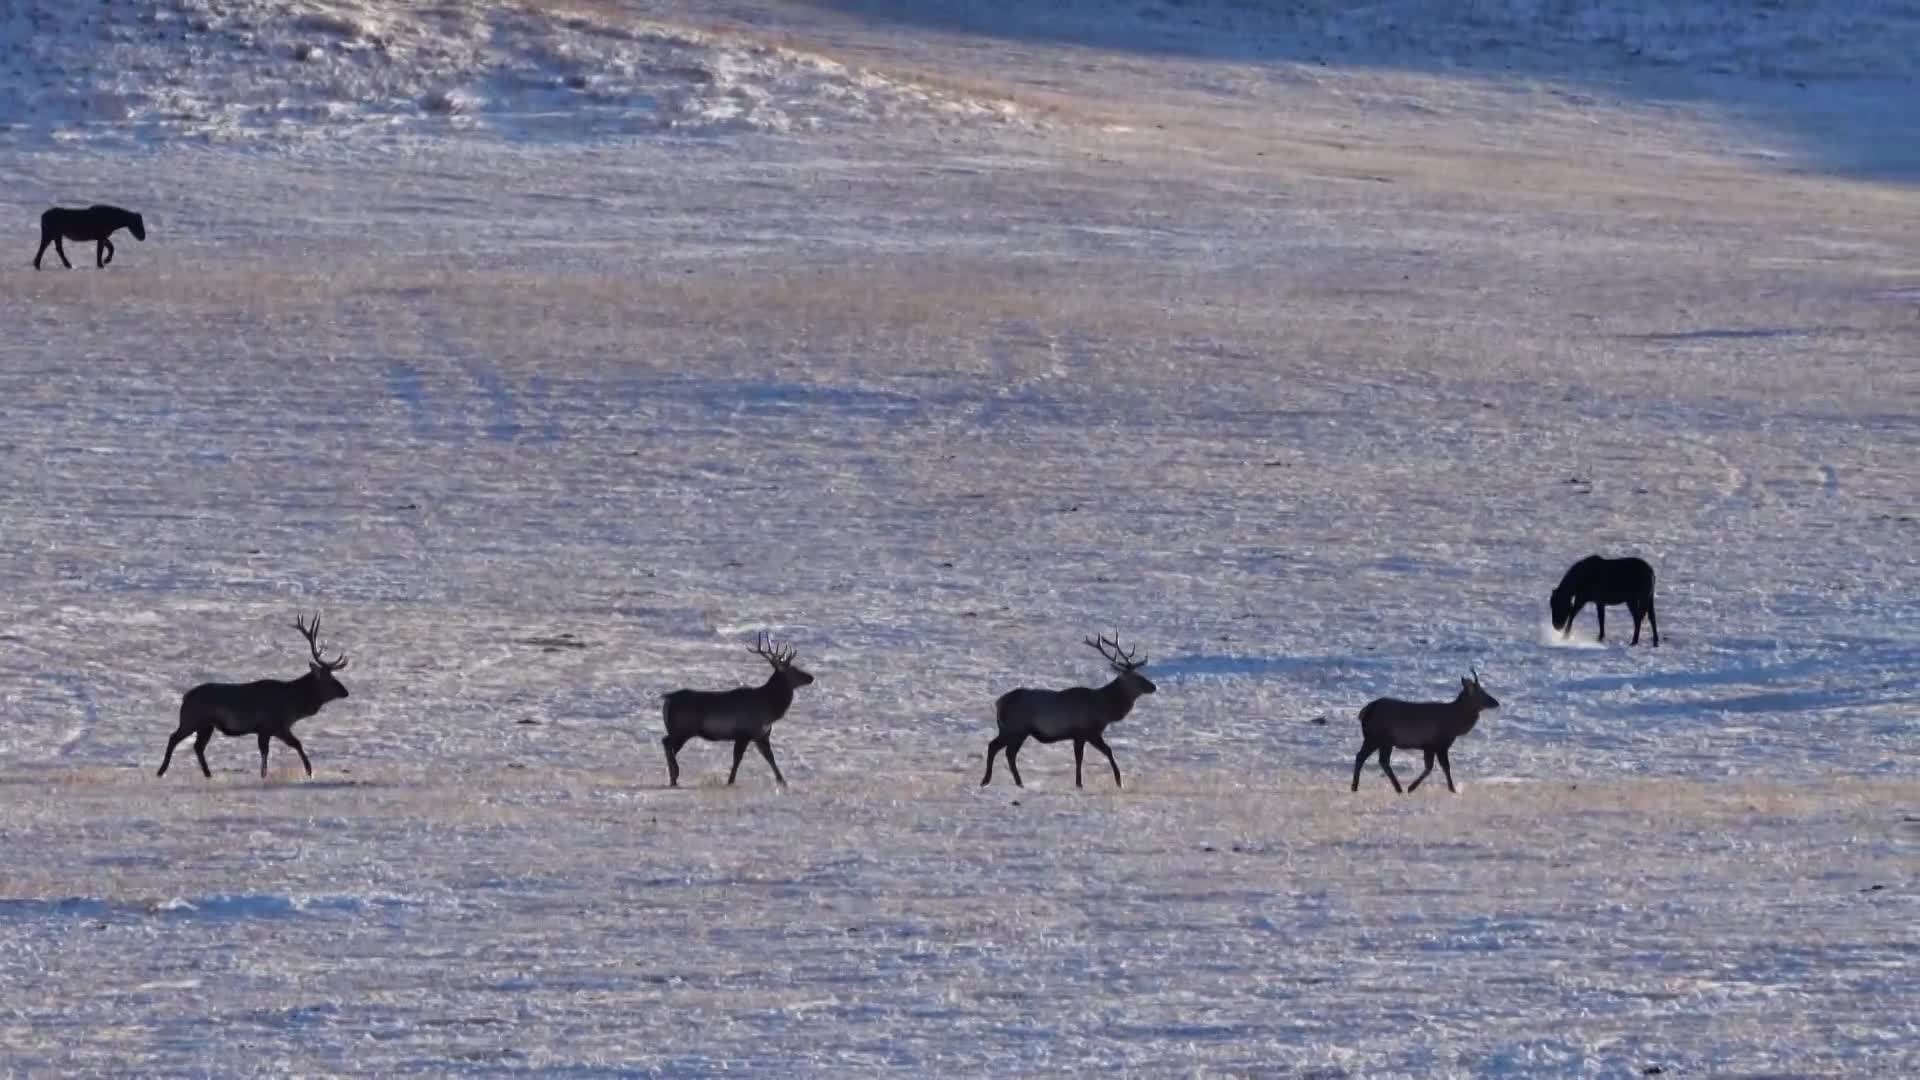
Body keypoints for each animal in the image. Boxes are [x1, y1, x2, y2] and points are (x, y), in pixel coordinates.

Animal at [155, 614, 351, 772]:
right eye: (329, 679)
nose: (346, 692)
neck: (293, 704)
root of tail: (185, 697)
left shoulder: (268, 729)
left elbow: (269, 752)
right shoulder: (272, 725)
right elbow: (291, 745)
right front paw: (309, 771)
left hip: (206, 725)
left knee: (198, 747)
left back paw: (208, 774)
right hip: (191, 719)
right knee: (174, 738)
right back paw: (162, 771)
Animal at [664, 626, 814, 787]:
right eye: (794, 670)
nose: (811, 677)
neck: (769, 708)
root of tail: (667, 698)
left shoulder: (762, 734)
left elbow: (770, 757)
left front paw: (783, 782)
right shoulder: (743, 733)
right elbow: (738, 759)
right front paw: (730, 781)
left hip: (681, 730)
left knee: (670, 747)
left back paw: (673, 777)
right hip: (683, 728)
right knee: (666, 742)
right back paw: (675, 776)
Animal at [975, 634, 1152, 787]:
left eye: (1141, 674)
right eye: (1136, 678)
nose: (1154, 686)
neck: (1104, 709)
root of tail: (998, 703)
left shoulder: (1080, 735)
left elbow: (1080, 758)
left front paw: (1079, 783)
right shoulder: (1087, 731)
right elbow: (1104, 752)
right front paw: (1117, 781)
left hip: (1014, 730)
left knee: (1005, 751)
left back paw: (1014, 782)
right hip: (1015, 728)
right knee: (998, 748)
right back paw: (991, 780)